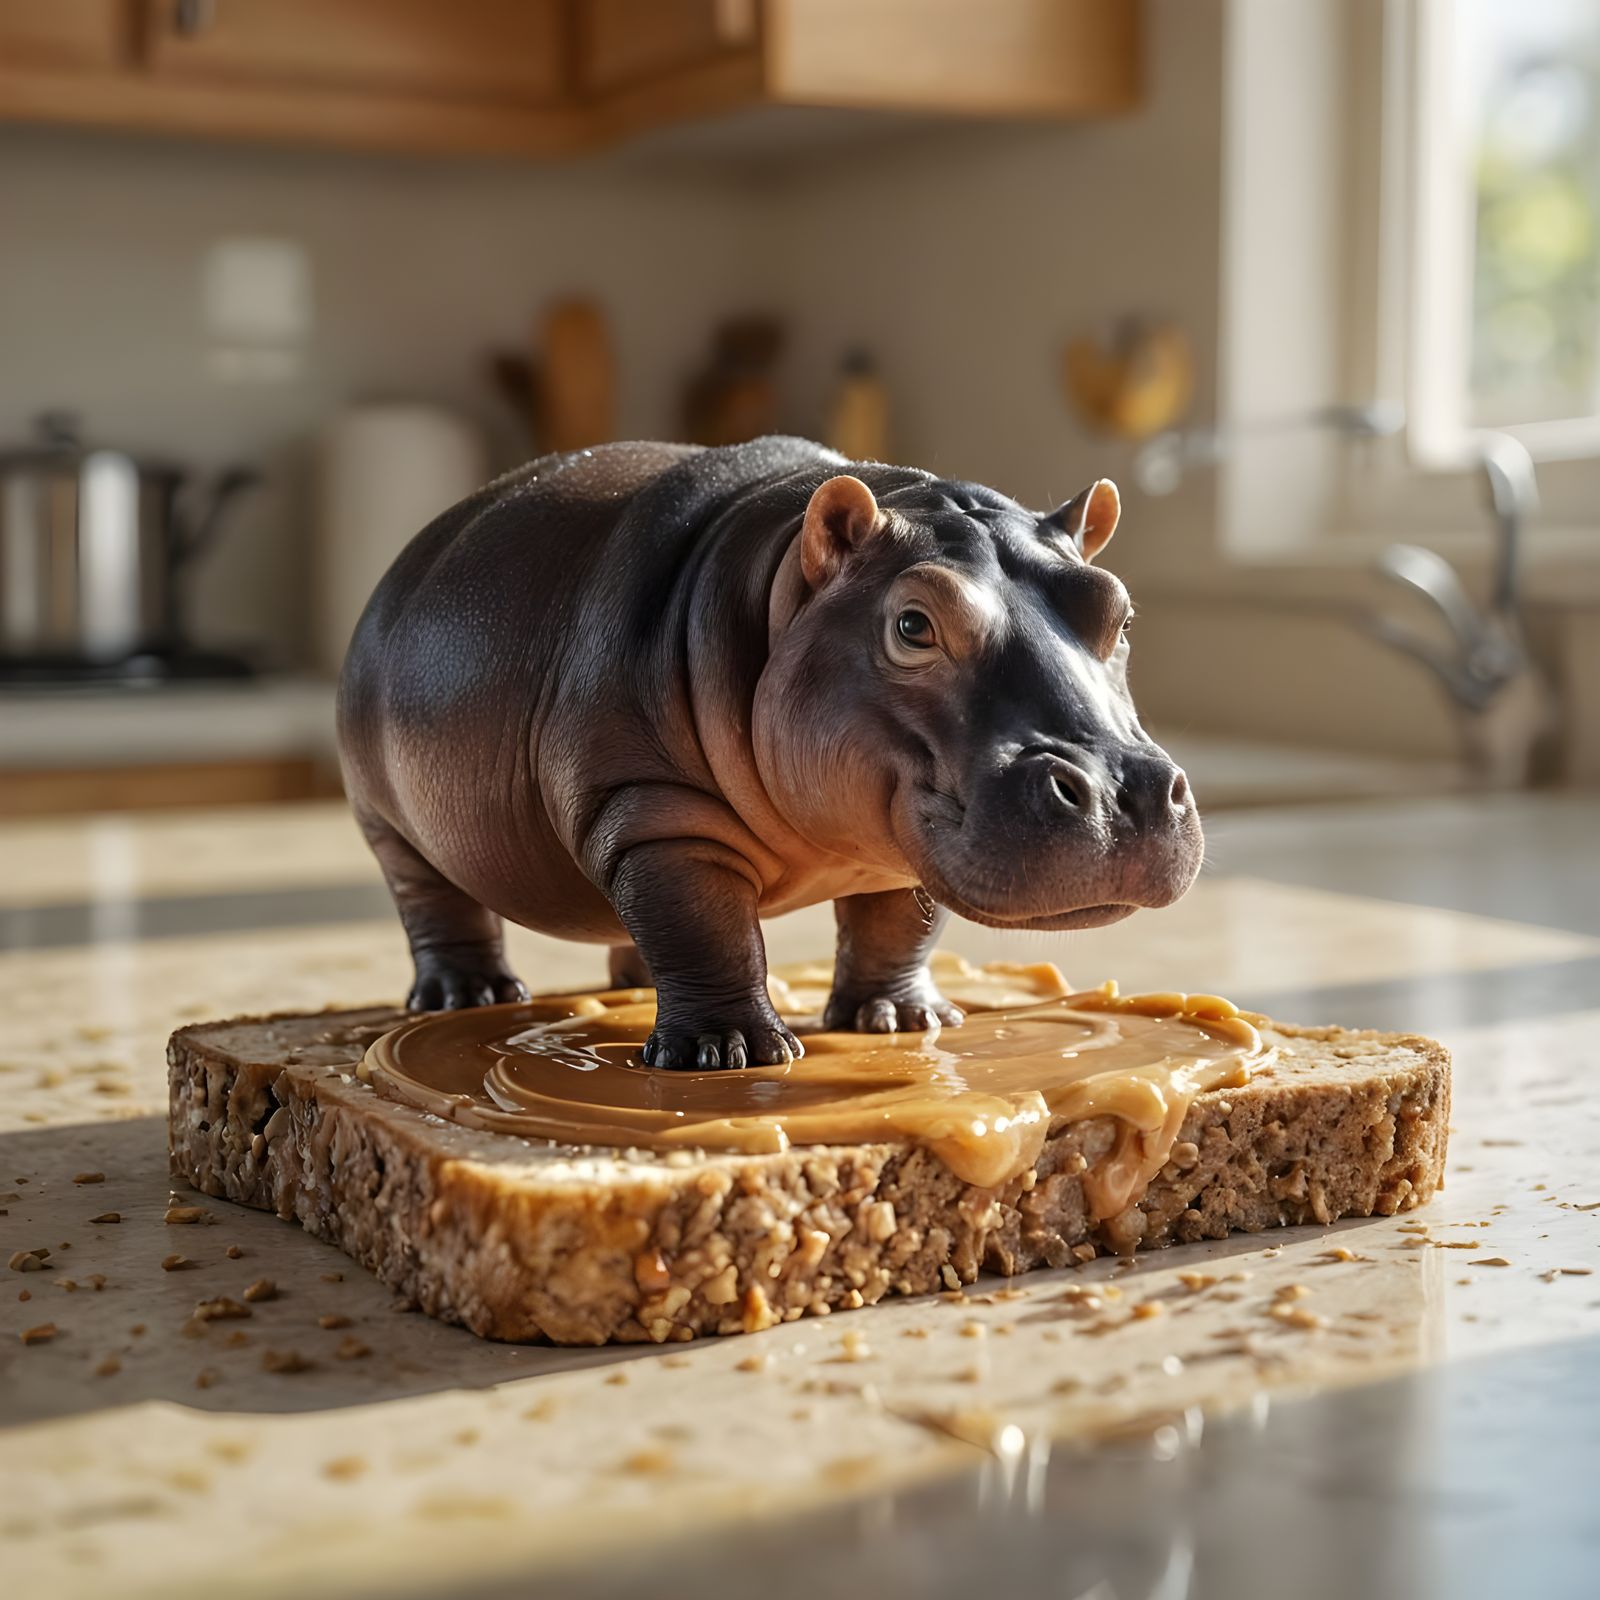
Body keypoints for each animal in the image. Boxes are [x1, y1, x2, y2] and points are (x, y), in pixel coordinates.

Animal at [337, 436, 1201, 1069]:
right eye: (913, 624)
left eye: (1118, 611)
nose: (1122, 795)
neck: (777, 582)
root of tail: (414, 553)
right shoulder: (659, 816)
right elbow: (706, 927)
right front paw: (732, 1053)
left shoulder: (890, 849)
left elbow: (897, 926)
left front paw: (902, 1020)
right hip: (389, 820)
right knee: (436, 903)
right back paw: (473, 997)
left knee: (625, 914)